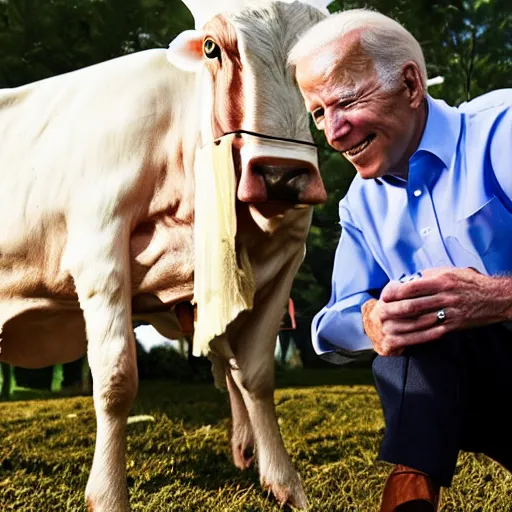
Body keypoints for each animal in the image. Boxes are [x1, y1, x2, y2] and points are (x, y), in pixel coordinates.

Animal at [0, 0, 330, 508]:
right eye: (212, 47)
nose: (281, 176)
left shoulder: (282, 261)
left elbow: (255, 373)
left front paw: (284, 481)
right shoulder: (99, 250)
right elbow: (116, 380)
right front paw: (109, 495)